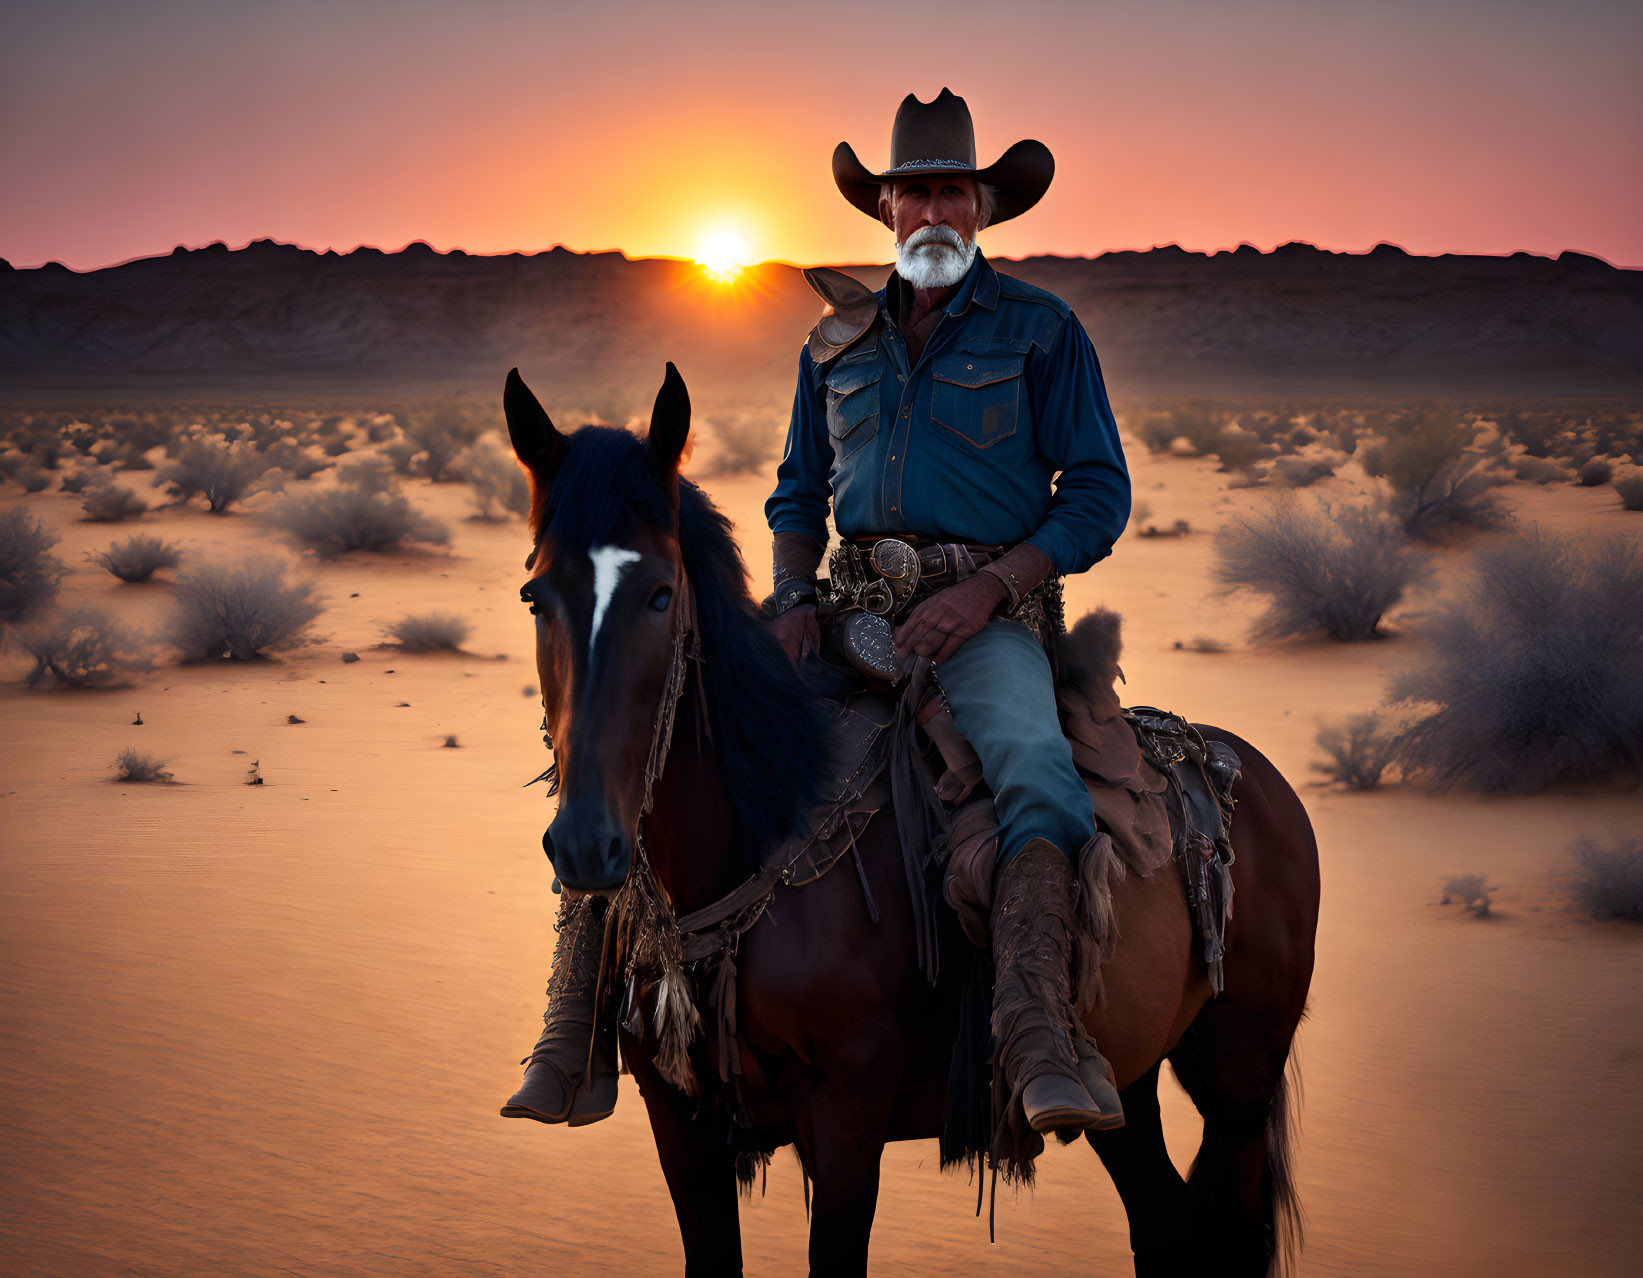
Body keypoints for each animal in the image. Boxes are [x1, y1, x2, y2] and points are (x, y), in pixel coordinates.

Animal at [502, 363, 1320, 1268]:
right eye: (535, 595)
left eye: (656, 595)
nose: (586, 846)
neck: (757, 839)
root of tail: (1252, 775)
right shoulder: (677, 1114)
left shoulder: (848, 1111)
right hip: (1130, 1073)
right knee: (1161, 1217)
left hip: (1238, 1073)